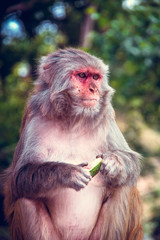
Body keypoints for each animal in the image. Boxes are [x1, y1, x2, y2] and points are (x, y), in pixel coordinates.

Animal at [2, 48, 143, 240]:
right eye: (82, 75)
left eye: (96, 77)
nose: (94, 89)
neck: (73, 120)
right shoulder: (35, 117)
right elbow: (18, 178)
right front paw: (67, 173)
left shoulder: (106, 116)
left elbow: (132, 161)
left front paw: (115, 162)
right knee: (26, 199)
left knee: (124, 189)